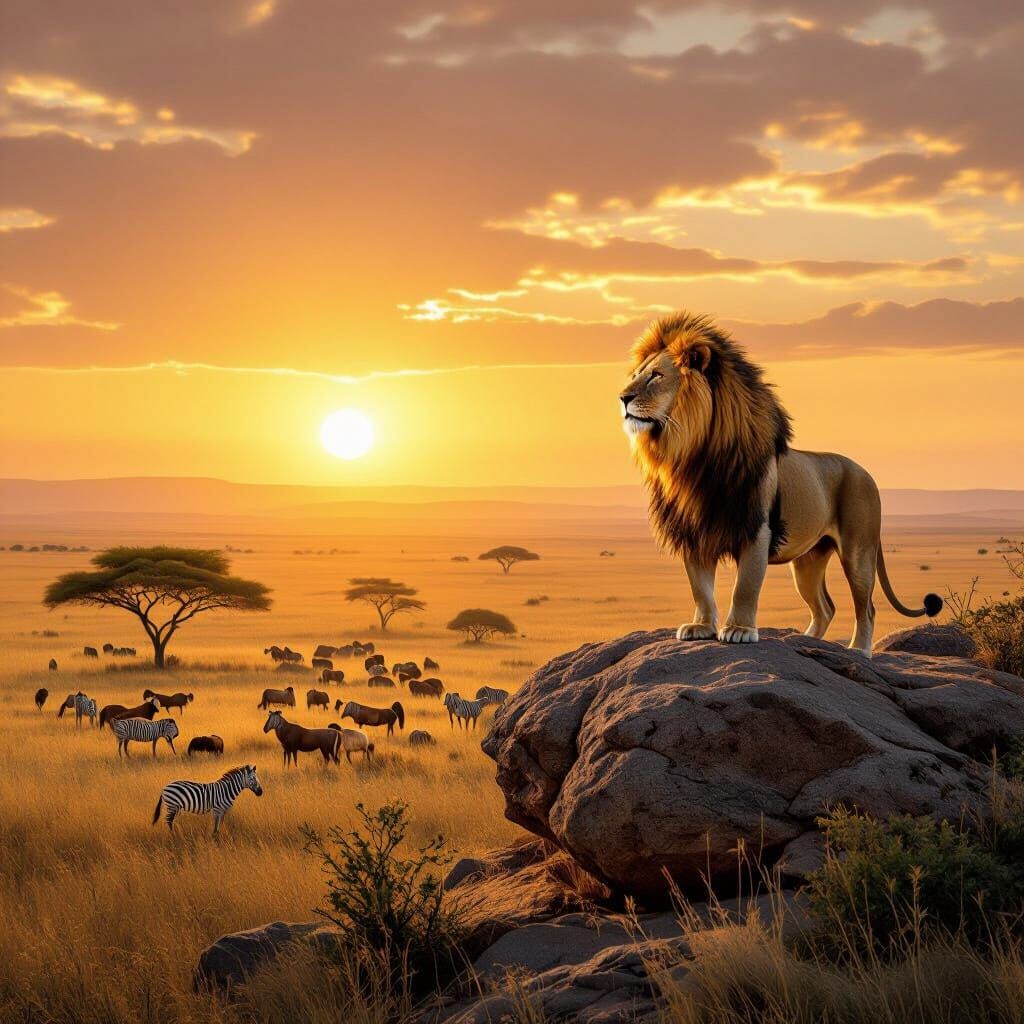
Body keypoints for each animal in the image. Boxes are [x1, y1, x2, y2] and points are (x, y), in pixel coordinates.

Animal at [619, 311, 941, 654]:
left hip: (859, 551)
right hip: (808, 561)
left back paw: (858, 650)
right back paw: (806, 641)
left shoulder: (756, 529)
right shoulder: (695, 531)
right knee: (825, 607)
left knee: (865, 607)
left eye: (655, 376)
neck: (691, 457)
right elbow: (700, 588)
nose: (622, 397)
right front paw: (702, 627)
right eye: (636, 375)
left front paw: (739, 630)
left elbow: (745, 586)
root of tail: (866, 473)